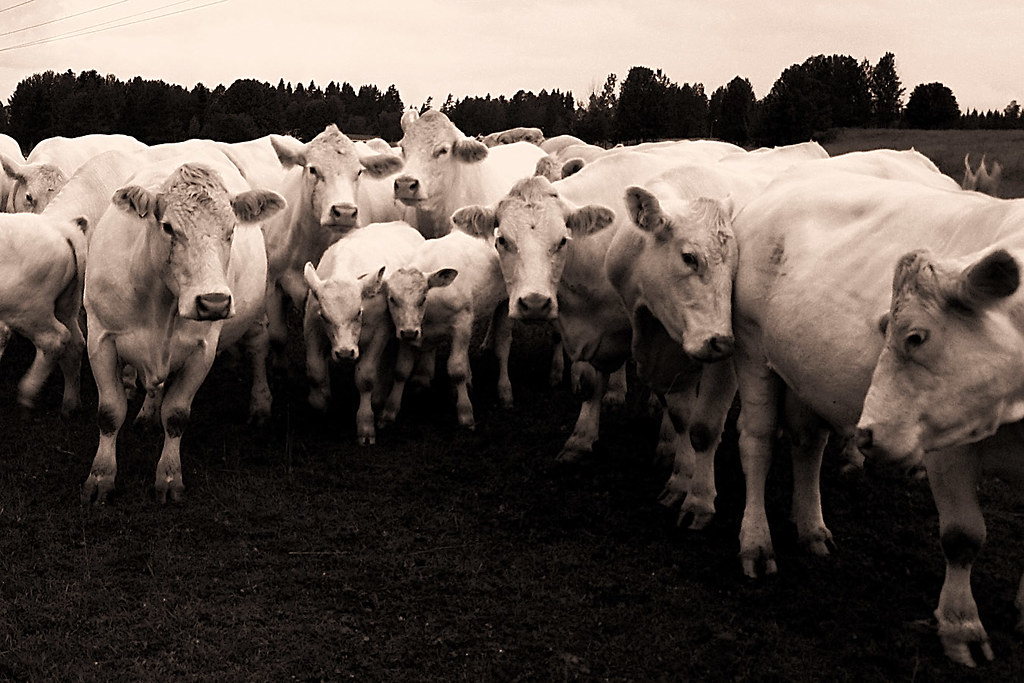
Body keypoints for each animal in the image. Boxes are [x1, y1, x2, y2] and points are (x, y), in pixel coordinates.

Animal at [81, 155, 285, 503]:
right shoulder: (100, 338)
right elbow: (109, 412)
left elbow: (176, 414)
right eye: (168, 227)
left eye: (231, 229)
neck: (160, 302)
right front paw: (101, 476)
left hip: (255, 311)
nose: (214, 302)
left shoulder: (203, 350)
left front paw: (168, 476)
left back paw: (260, 404)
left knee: (258, 347)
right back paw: (148, 413)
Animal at [302, 221, 425, 445]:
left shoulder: (379, 333)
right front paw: (320, 401)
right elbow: (315, 371)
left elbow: (365, 377)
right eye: (324, 316)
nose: (344, 353)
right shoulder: (312, 329)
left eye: (358, 312)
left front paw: (365, 424)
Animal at [378, 220, 513, 431]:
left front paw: (465, 413)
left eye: (422, 298)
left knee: (503, 348)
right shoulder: (407, 331)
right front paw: (389, 412)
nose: (409, 333)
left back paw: (505, 390)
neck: (430, 313)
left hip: (505, 302)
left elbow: (456, 369)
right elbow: (401, 371)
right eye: (392, 299)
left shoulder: (462, 324)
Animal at [730, 167, 1022, 666]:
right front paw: (961, 626)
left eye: (914, 336)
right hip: (753, 352)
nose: (867, 434)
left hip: (808, 373)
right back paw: (756, 540)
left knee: (807, 444)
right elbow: (962, 536)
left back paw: (811, 528)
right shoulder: (947, 441)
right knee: (758, 443)